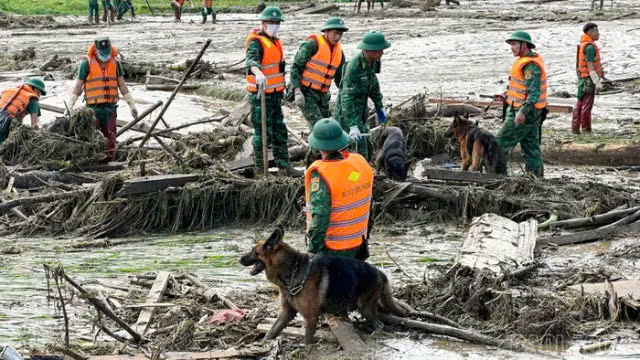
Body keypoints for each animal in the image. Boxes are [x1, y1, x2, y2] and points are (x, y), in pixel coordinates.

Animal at [239, 228, 410, 344]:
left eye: (254, 251)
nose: (239, 260)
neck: (291, 269)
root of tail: (380, 272)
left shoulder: (310, 317)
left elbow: (307, 340)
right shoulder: (286, 313)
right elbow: (271, 331)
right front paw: (262, 343)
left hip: (364, 306)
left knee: (379, 324)